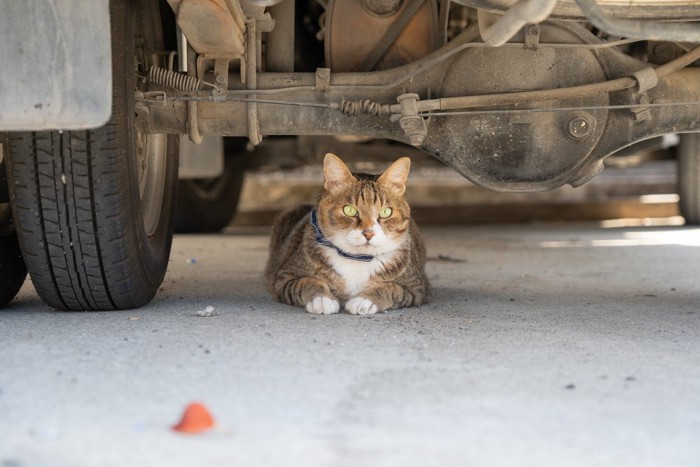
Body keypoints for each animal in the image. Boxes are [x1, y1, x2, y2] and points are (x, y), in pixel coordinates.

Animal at [266, 154, 430, 314]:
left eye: (385, 212)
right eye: (349, 210)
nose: (368, 233)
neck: (357, 258)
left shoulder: (417, 287)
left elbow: (391, 288)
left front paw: (364, 301)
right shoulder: (284, 277)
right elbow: (306, 282)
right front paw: (322, 299)